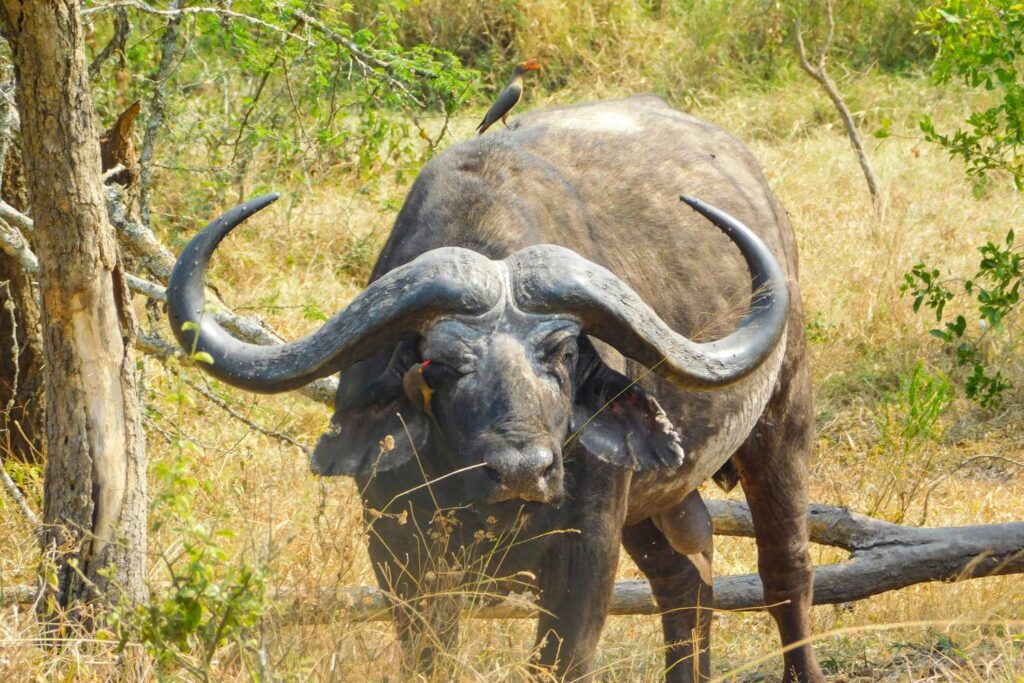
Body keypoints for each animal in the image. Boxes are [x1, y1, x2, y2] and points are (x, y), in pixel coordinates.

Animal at [168, 95, 824, 682]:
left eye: (564, 353)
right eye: (438, 363)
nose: (522, 471)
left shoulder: (587, 547)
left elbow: (561, 661)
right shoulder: (399, 550)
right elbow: (428, 657)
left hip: (781, 420)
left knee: (785, 570)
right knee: (685, 578)